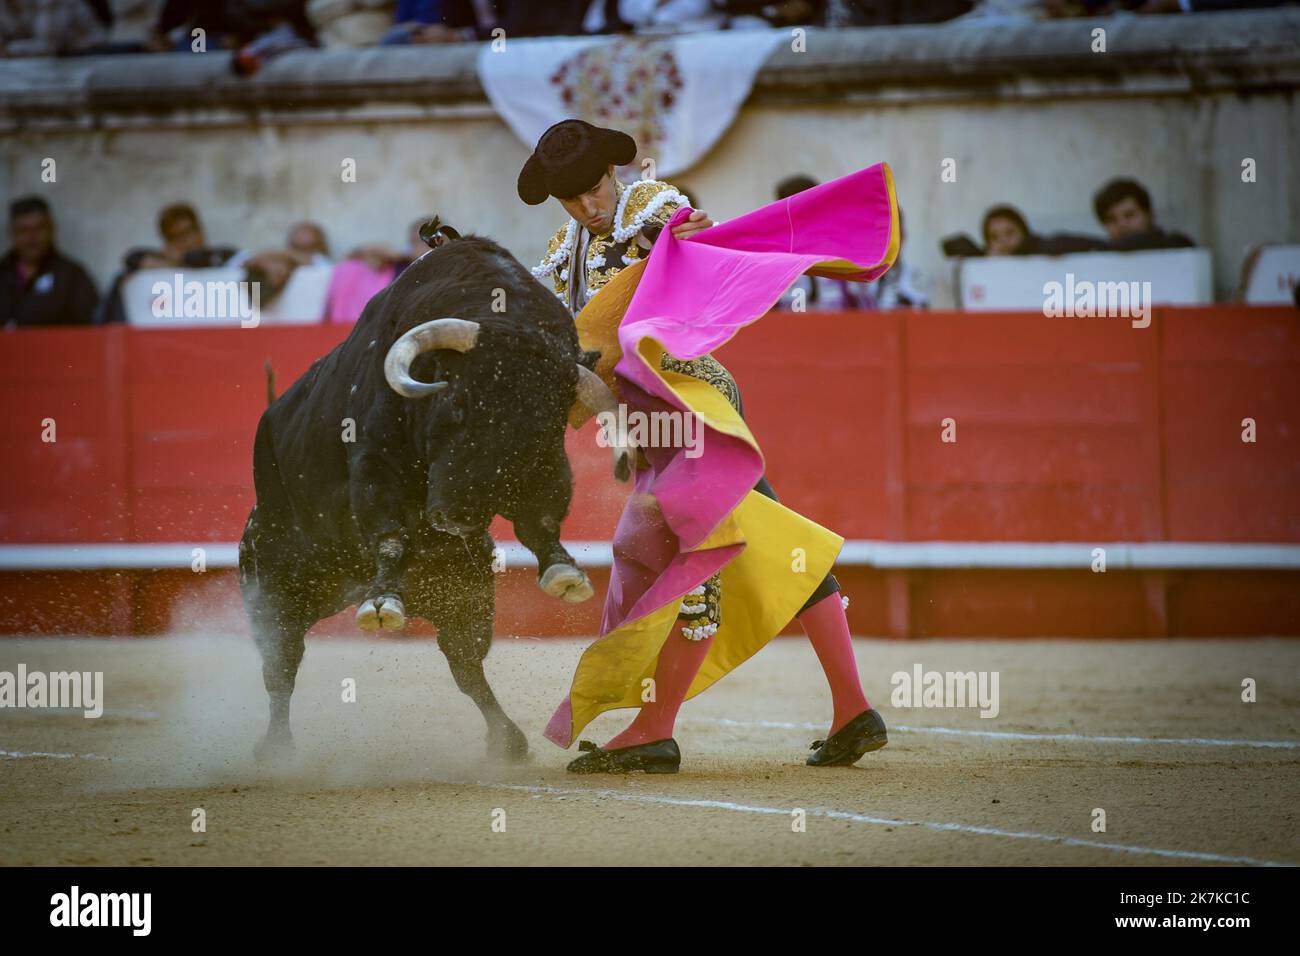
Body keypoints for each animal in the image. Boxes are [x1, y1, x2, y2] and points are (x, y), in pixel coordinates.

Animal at [244, 238, 634, 764]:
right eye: (458, 405)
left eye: (537, 431)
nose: (456, 518)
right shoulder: (375, 461)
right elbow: (388, 531)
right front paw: (382, 602)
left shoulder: (547, 466)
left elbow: (541, 518)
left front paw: (563, 572)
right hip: (273, 588)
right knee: (280, 667)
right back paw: (277, 748)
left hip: (463, 591)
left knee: (466, 666)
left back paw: (508, 740)